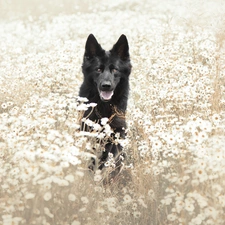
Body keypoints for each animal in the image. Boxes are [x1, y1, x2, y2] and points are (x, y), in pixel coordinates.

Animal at [79, 33, 131, 180]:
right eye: (98, 69)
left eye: (114, 69)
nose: (106, 85)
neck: (104, 107)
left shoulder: (118, 133)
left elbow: (112, 157)